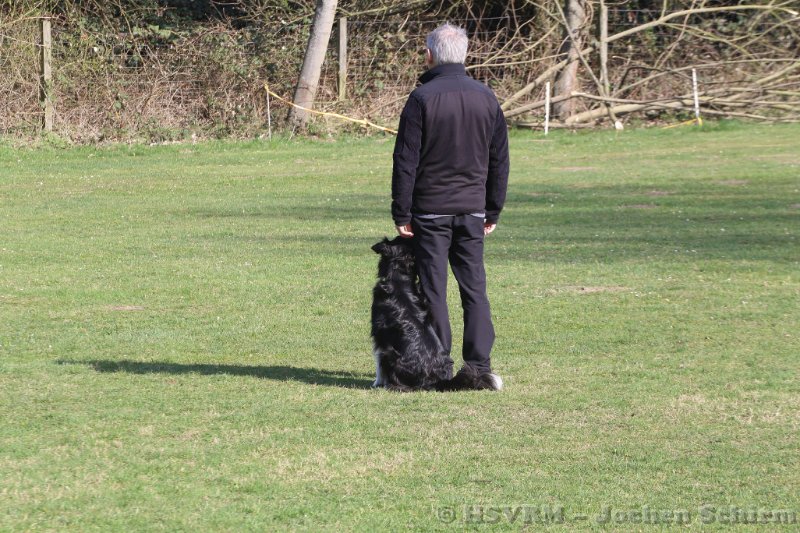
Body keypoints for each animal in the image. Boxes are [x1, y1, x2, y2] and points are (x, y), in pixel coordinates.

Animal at [370, 236, 502, 391]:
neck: (399, 279)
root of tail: (438, 381)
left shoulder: (380, 335)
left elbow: (378, 362)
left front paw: (377, 383)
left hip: (391, 354)